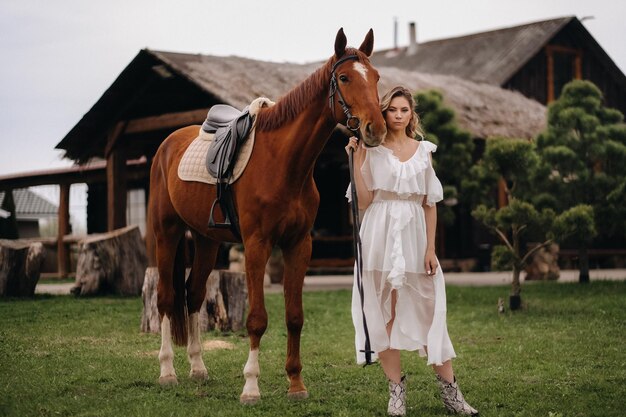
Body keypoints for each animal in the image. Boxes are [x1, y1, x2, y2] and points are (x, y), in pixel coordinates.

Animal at [148, 27, 382, 402]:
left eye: (375, 77)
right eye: (345, 77)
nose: (377, 129)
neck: (283, 162)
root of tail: (167, 144)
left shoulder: (299, 245)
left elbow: (294, 316)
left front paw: (296, 384)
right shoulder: (257, 245)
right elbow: (257, 318)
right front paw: (251, 386)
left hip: (206, 240)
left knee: (194, 294)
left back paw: (198, 368)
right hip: (166, 233)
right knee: (166, 298)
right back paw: (167, 371)